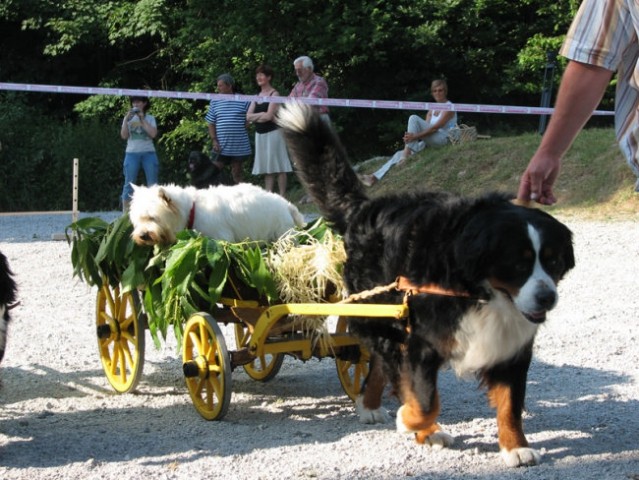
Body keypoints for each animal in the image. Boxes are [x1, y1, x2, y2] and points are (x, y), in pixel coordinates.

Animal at [129, 183, 304, 246]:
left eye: (152, 217)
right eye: (137, 220)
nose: (142, 235)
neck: (193, 211)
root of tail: (287, 205)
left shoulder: (221, 237)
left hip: (283, 234)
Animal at [278, 103, 576, 466]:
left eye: (553, 261)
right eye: (518, 264)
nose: (547, 298)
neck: (478, 290)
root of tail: (365, 207)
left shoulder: (511, 346)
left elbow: (511, 403)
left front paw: (515, 446)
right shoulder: (421, 343)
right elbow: (424, 400)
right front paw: (411, 421)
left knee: (381, 365)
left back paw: (373, 406)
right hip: (384, 320)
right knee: (385, 364)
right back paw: (389, 414)